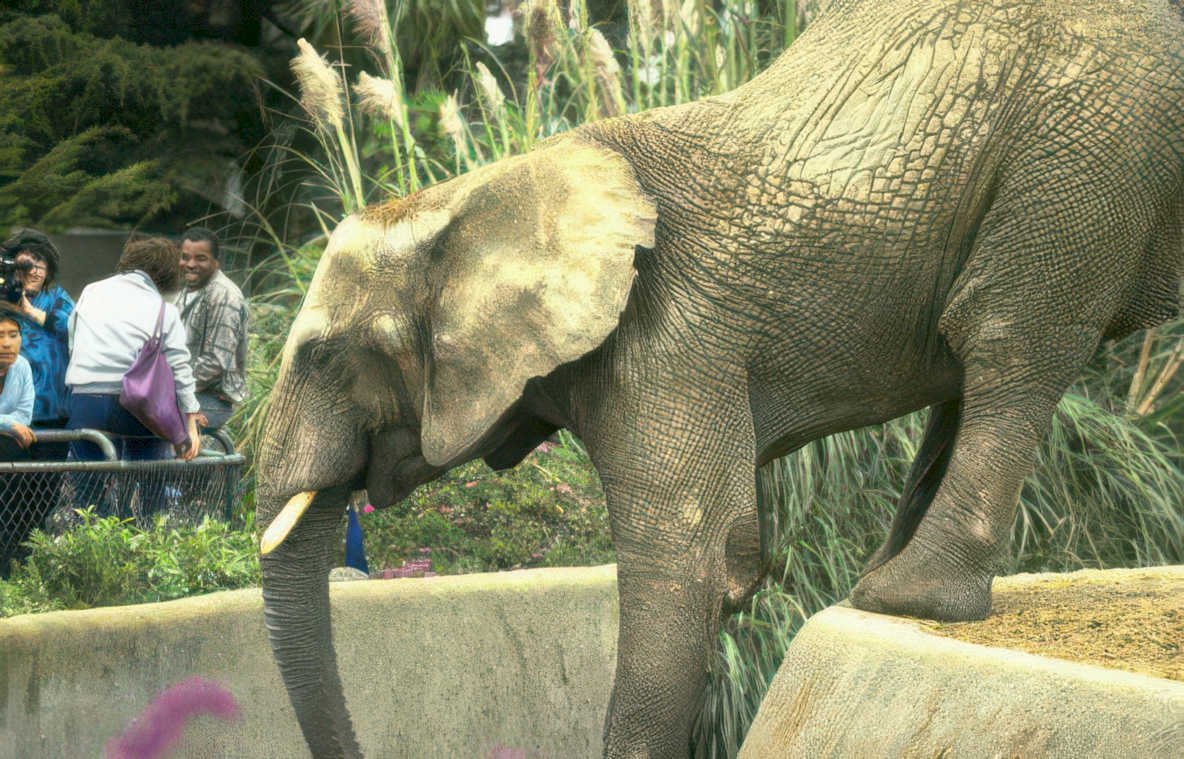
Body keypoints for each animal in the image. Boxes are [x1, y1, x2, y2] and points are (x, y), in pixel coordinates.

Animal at [255, 0, 1184, 756]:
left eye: (324, 356)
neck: (471, 194)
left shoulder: (665, 339)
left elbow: (693, 568)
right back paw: (881, 583)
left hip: (1080, 139)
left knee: (1007, 335)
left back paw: (906, 596)